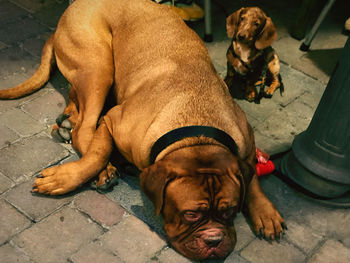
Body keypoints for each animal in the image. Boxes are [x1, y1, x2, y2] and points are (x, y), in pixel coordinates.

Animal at [0, 0, 284, 260]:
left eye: (230, 211)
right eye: (191, 214)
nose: (214, 241)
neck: (197, 131)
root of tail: (72, 8)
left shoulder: (246, 138)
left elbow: (252, 178)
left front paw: (265, 212)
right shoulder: (113, 121)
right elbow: (97, 154)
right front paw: (69, 177)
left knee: (76, 107)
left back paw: (68, 121)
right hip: (98, 66)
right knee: (85, 129)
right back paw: (101, 165)